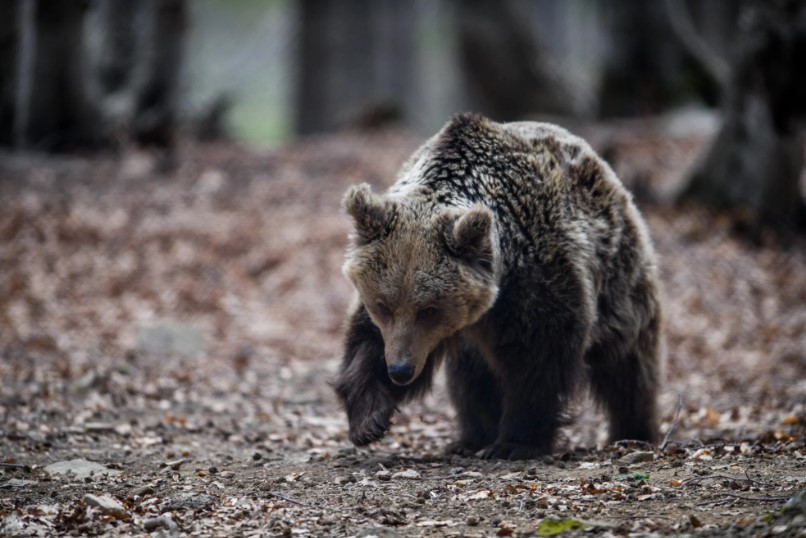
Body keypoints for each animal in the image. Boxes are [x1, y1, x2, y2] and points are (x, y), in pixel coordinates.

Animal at [332, 112, 664, 456]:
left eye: (430, 309)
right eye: (383, 305)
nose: (400, 370)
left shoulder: (538, 277)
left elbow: (539, 359)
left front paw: (515, 442)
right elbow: (368, 340)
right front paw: (368, 418)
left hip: (618, 278)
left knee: (627, 365)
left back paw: (633, 431)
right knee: (472, 378)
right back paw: (471, 437)